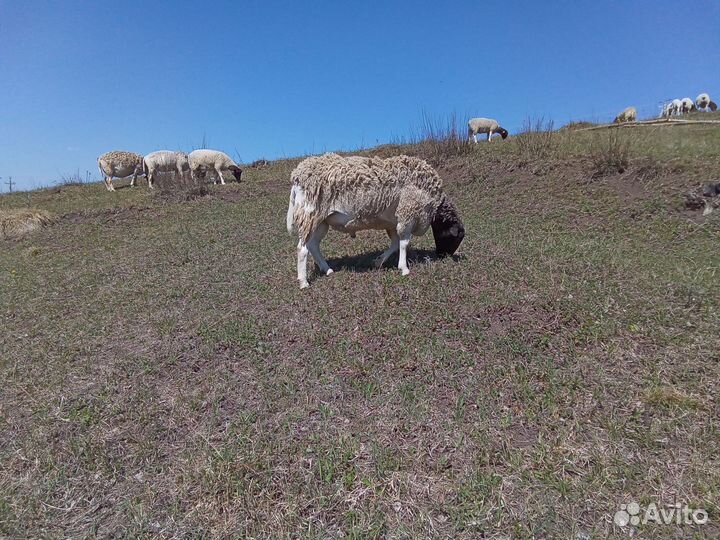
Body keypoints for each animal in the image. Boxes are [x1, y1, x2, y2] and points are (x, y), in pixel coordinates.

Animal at [287, 153, 465, 289]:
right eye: (455, 237)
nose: (443, 256)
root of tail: (297, 176)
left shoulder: (394, 221)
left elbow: (395, 243)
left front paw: (379, 261)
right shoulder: (407, 214)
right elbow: (404, 243)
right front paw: (404, 269)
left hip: (322, 221)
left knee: (313, 245)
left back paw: (327, 270)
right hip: (309, 214)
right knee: (302, 249)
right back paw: (304, 282)